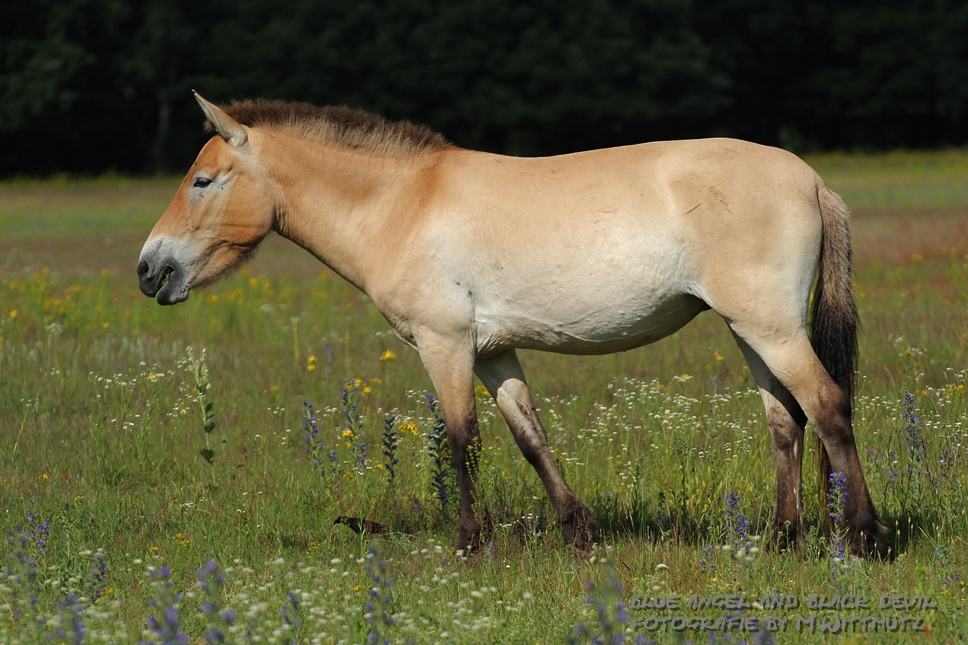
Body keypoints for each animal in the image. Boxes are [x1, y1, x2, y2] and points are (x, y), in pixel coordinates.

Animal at [138, 93, 884, 556]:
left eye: (202, 181)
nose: (149, 270)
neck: (403, 203)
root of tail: (812, 180)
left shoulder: (444, 344)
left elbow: (461, 440)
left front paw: (473, 542)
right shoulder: (494, 352)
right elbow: (529, 437)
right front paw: (577, 532)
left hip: (770, 328)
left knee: (827, 406)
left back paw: (864, 535)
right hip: (749, 329)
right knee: (785, 421)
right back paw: (780, 539)